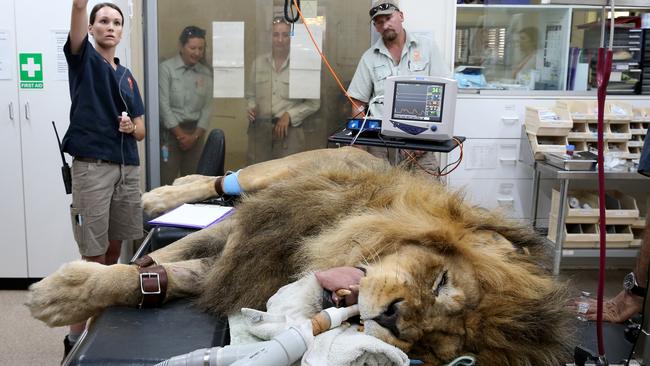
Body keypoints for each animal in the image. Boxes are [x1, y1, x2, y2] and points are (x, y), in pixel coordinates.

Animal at [27, 147, 568, 364]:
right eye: (441, 283)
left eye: (436, 347)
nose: (393, 319)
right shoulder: (261, 226)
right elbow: (157, 254)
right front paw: (59, 294)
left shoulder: (240, 264)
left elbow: (161, 273)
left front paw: (71, 295)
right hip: (277, 172)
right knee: (226, 180)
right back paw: (164, 195)